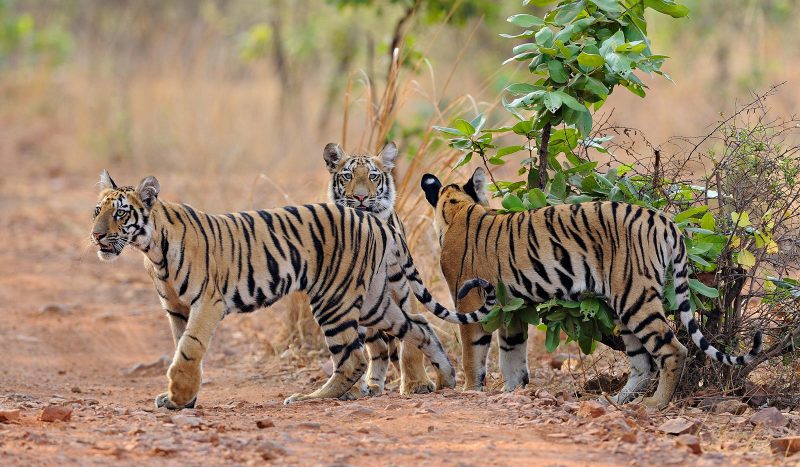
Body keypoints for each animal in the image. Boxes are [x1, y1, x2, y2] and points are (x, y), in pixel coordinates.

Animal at [92, 170, 494, 408]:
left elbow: (189, 349)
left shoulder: (207, 301)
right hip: (374, 301)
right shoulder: (175, 307)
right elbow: (181, 347)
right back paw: (446, 378)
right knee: (420, 326)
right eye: (97, 210)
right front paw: (183, 398)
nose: (96, 236)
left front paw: (177, 397)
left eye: (121, 213)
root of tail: (378, 222)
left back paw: (310, 398)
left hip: (334, 300)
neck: (151, 249)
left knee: (353, 358)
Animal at [322, 142, 438, 394]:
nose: (361, 196)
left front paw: (417, 384)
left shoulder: (403, 287)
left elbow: (411, 344)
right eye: (348, 176)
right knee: (378, 348)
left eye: (373, 176)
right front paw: (352, 390)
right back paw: (371, 385)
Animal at [418, 168, 764, 410]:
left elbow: (472, 354)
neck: (457, 209)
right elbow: (512, 354)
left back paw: (656, 404)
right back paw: (614, 402)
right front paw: (512, 391)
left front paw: (470, 390)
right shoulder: (511, 309)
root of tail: (665, 221)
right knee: (642, 364)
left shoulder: (469, 301)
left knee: (673, 350)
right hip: (625, 305)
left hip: (635, 296)